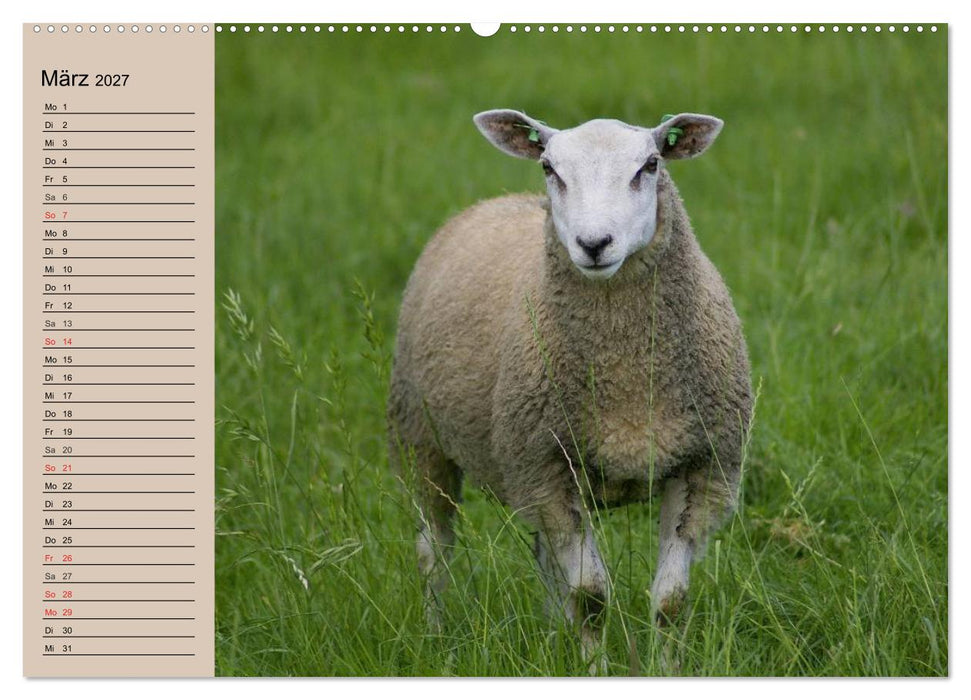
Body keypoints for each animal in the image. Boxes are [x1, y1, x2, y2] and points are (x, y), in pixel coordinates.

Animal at [387, 109, 752, 665]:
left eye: (650, 165)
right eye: (549, 167)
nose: (594, 244)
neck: (626, 368)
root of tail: (494, 201)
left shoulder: (703, 466)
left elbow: (670, 601)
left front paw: (664, 669)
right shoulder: (549, 469)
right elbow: (591, 597)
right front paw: (594, 668)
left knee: (542, 555)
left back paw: (549, 633)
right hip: (421, 439)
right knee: (434, 552)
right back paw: (437, 641)